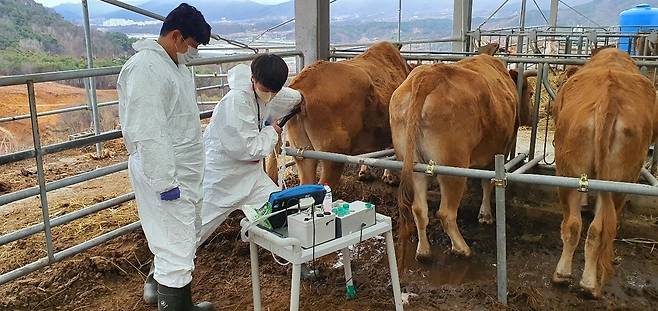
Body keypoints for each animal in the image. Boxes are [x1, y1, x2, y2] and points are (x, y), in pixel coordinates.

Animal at [390, 45, 532, 260]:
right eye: (531, 93)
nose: (532, 118)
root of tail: (427, 76)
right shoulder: (496, 152)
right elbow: (487, 183)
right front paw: (486, 215)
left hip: (414, 165)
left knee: (419, 209)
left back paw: (423, 251)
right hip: (453, 166)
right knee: (446, 213)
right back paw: (462, 248)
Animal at [552, 47, 652, 298]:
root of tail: (609, 98)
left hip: (572, 171)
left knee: (581, 226)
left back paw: (573, 278)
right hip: (619, 180)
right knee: (595, 226)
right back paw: (583, 282)